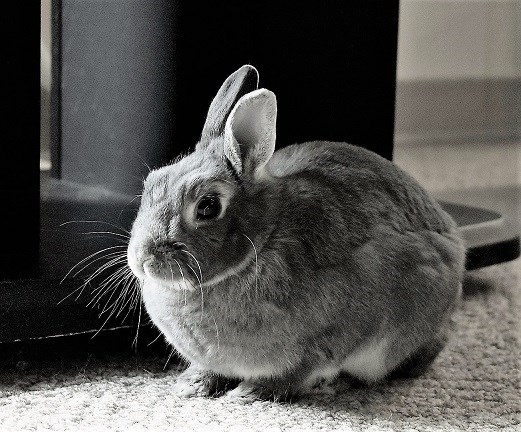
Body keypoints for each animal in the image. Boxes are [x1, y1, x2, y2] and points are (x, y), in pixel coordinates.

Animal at [127, 65, 466, 402]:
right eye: (152, 182)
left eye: (208, 206)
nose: (142, 259)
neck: (263, 240)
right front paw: (193, 384)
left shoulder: (329, 339)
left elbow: (296, 373)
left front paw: (250, 392)